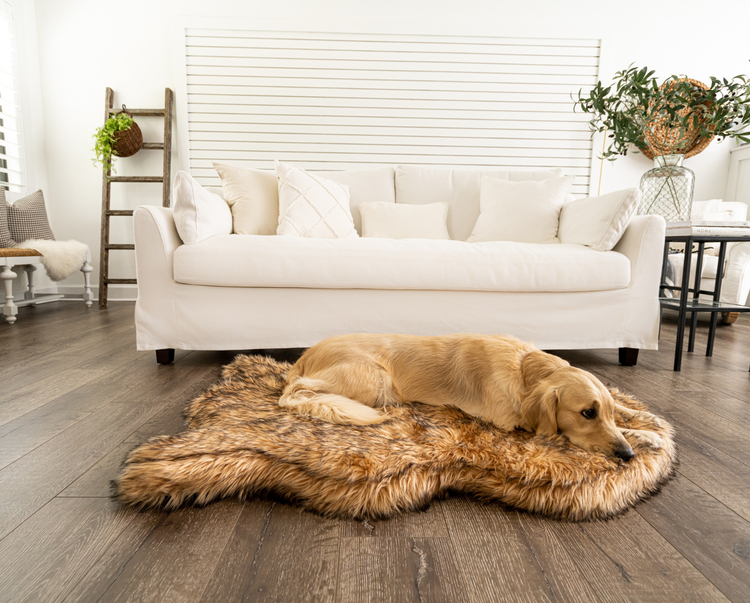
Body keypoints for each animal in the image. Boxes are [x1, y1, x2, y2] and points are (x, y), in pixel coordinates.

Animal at [282, 336, 664, 462]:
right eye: (586, 413)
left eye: (605, 412)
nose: (627, 456)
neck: (526, 370)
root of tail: (305, 356)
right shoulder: (513, 422)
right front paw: (642, 436)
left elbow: (629, 413)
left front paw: (647, 424)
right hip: (375, 378)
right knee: (295, 395)